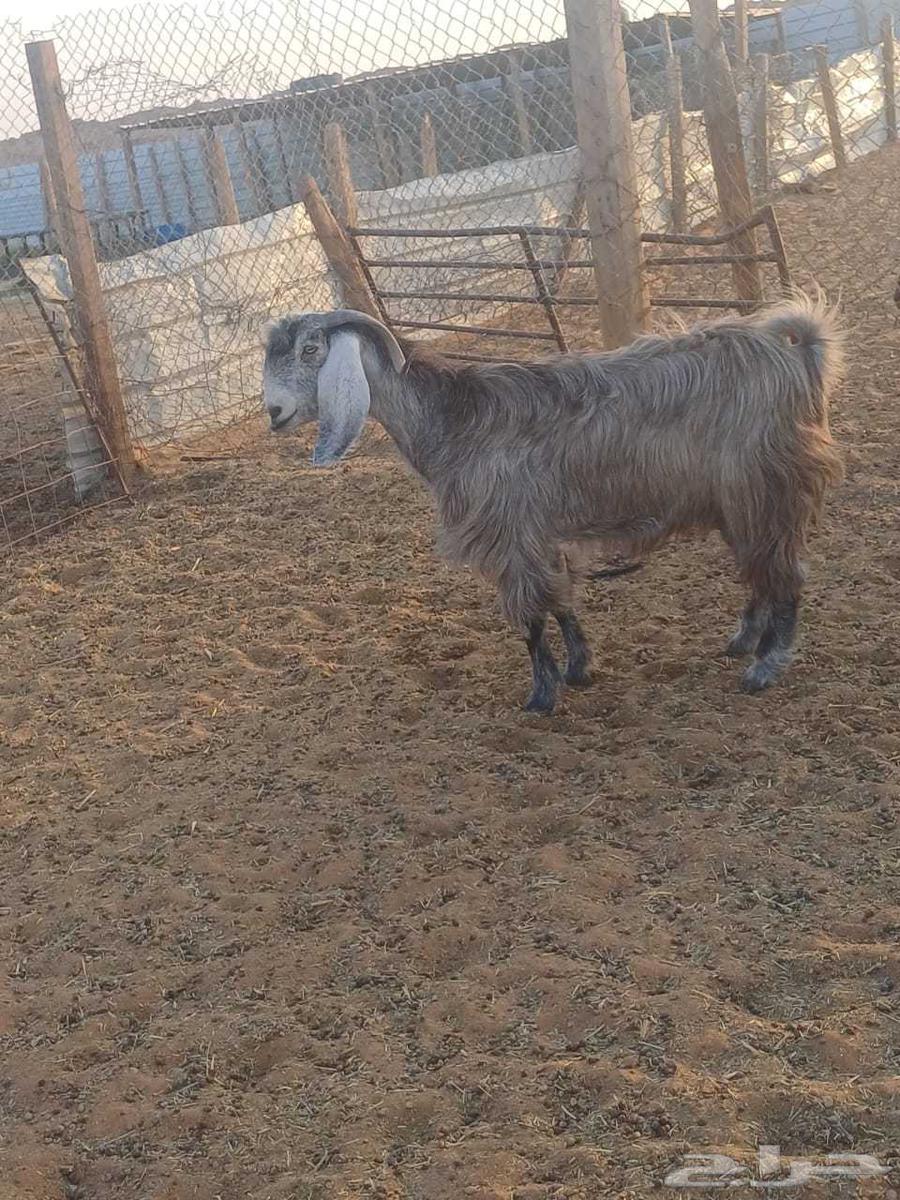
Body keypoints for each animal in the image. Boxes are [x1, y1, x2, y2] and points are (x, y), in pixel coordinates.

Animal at [262, 298, 843, 713]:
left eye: (312, 350)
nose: (274, 412)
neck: (454, 420)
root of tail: (796, 353)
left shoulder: (509, 536)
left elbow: (531, 619)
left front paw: (541, 696)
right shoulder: (539, 533)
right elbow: (562, 598)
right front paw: (579, 668)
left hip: (764, 487)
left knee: (785, 575)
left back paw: (765, 666)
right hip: (741, 501)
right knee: (761, 571)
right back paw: (744, 640)